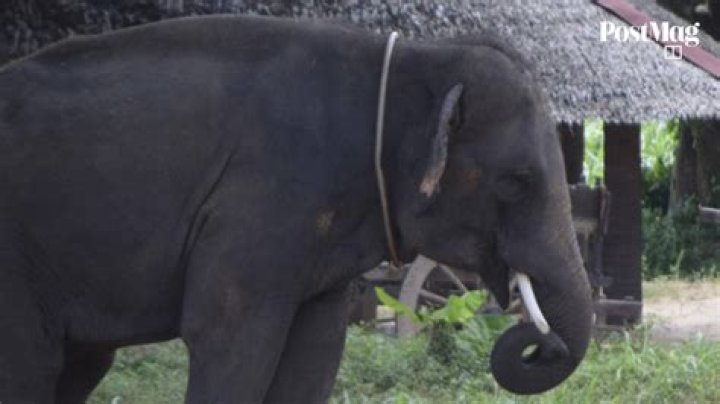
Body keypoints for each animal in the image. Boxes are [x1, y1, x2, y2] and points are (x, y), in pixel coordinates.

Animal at [0, 15, 593, 403]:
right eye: (518, 181)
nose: (545, 345)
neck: (413, 57)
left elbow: (316, 351)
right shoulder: (261, 199)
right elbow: (227, 339)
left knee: (79, 366)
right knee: (31, 365)